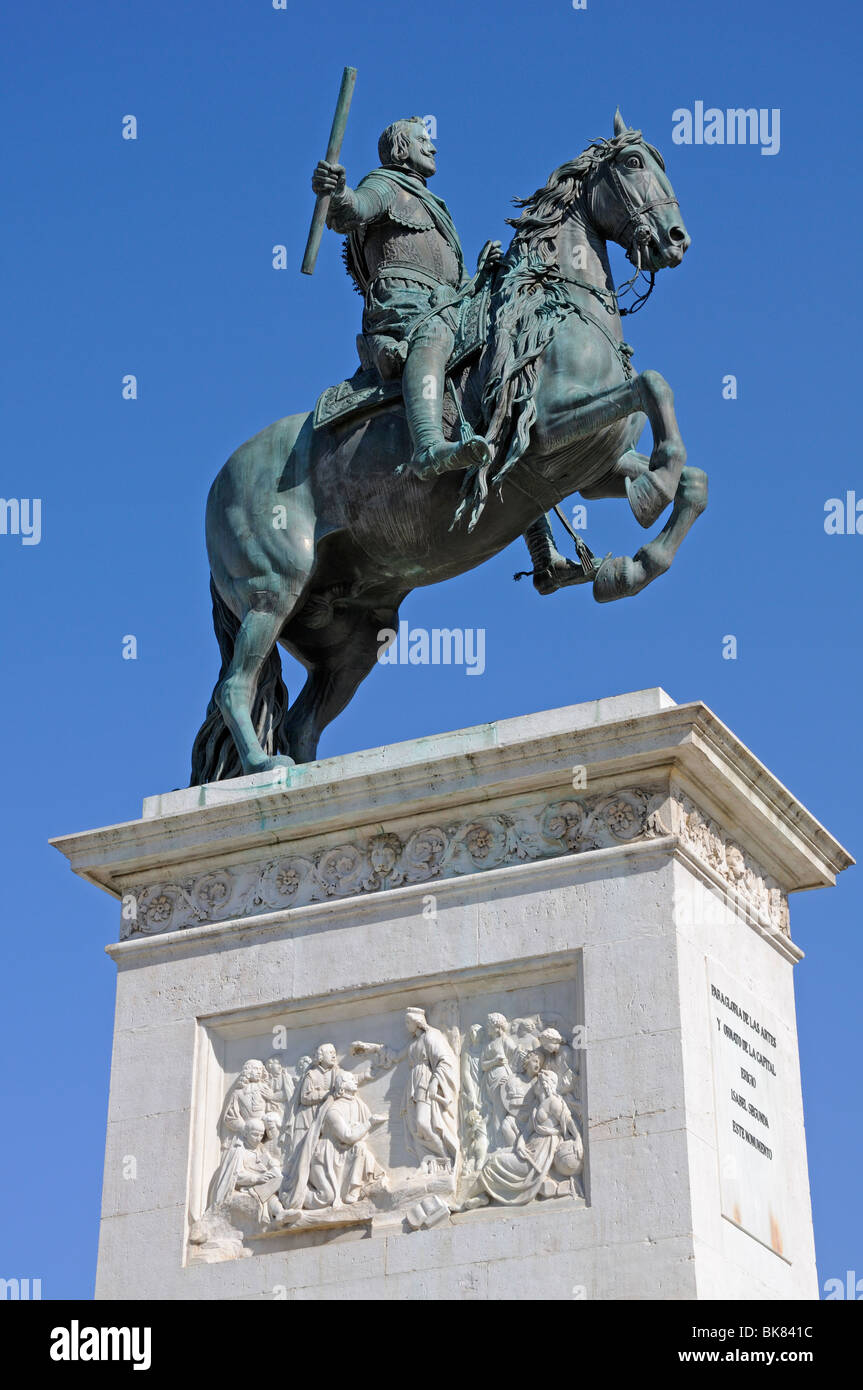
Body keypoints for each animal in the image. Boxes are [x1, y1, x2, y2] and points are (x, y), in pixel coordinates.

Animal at [193, 111, 705, 783]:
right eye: (633, 164)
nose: (676, 239)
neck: (559, 305)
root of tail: (220, 481)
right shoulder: (546, 431)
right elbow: (655, 385)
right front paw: (652, 495)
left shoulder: (592, 465)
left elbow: (690, 477)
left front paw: (633, 562)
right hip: (272, 589)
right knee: (236, 686)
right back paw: (261, 766)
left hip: (350, 638)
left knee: (301, 721)